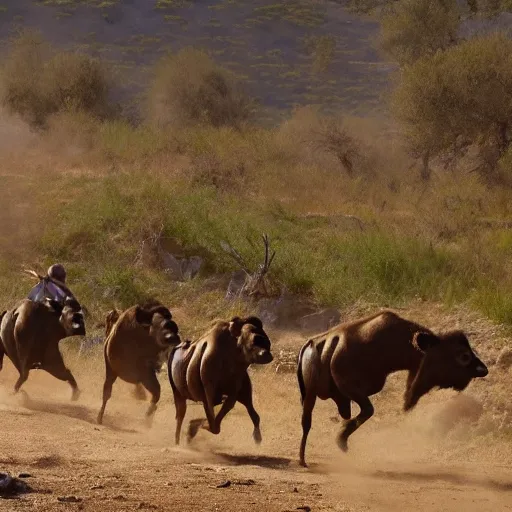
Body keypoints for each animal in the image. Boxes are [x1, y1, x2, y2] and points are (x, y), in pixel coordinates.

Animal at [168, 314, 272, 446]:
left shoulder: (234, 392)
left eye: (267, 341)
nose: (267, 355)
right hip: (177, 392)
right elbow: (213, 424)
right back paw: (177, 442)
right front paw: (192, 428)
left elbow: (219, 419)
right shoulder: (209, 394)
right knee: (180, 415)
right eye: (255, 339)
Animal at [298, 310, 490, 466]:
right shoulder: (352, 389)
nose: (483, 369)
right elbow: (368, 410)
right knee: (306, 423)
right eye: (463, 355)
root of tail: (310, 345)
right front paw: (341, 440)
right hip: (310, 395)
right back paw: (302, 459)